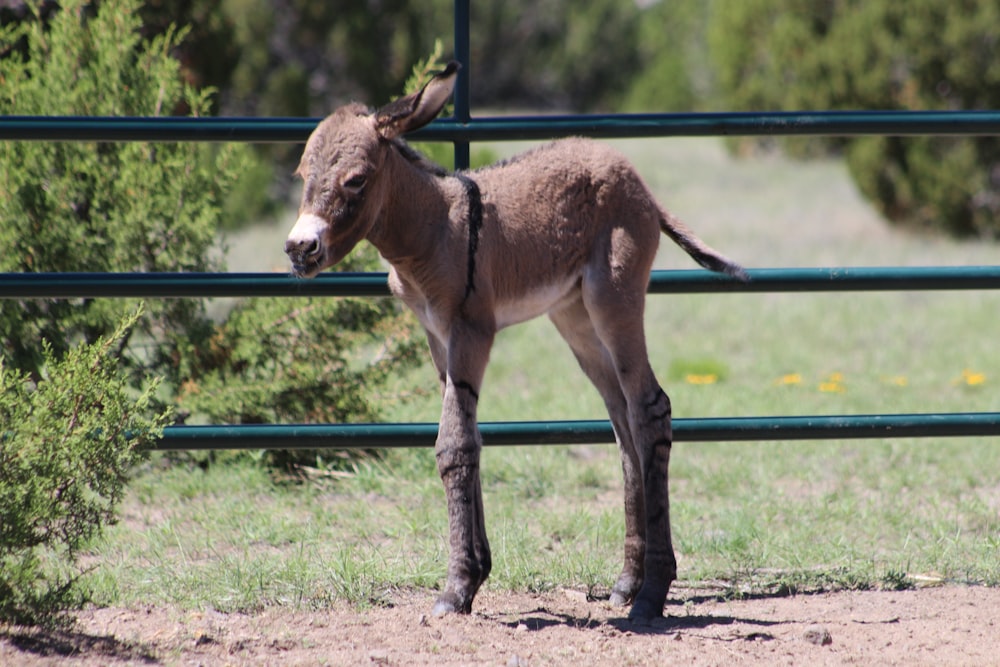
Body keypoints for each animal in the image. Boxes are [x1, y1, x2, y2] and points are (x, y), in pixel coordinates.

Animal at [286, 62, 748, 620]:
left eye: (355, 179)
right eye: (301, 175)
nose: (299, 249)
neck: (431, 228)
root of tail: (638, 180)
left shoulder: (471, 330)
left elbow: (454, 444)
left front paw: (457, 588)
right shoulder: (437, 336)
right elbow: (468, 436)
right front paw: (476, 571)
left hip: (615, 299)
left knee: (649, 409)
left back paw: (652, 593)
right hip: (575, 317)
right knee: (622, 422)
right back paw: (627, 581)